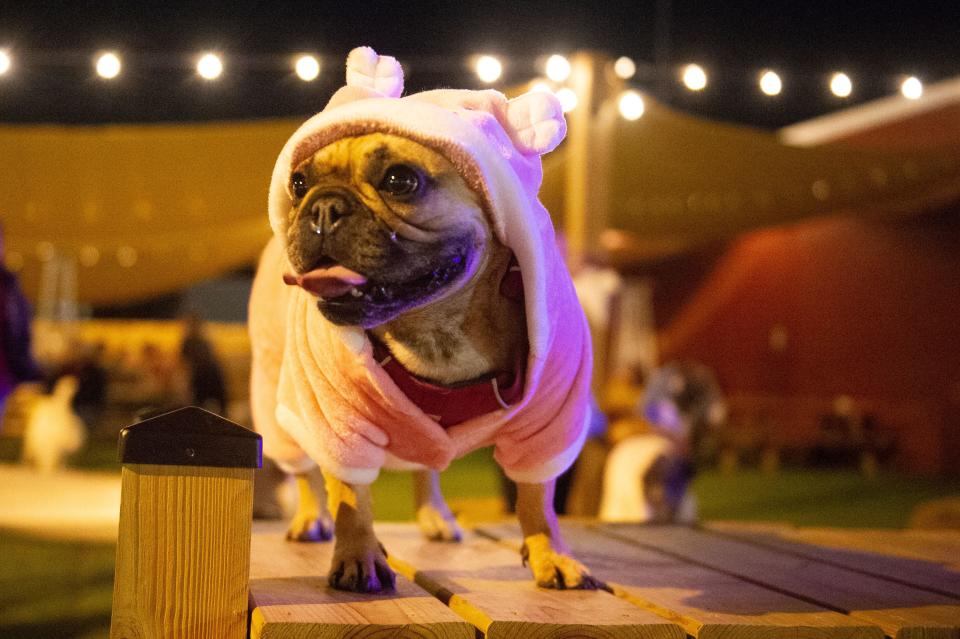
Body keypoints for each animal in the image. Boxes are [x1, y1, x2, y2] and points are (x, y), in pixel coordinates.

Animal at [253, 48, 600, 596]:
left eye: (401, 180)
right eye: (299, 182)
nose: (321, 206)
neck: (436, 332)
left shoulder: (549, 421)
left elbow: (536, 497)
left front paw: (551, 554)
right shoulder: (337, 422)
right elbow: (350, 496)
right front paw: (358, 555)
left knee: (426, 467)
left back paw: (435, 516)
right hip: (280, 400)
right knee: (304, 469)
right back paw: (311, 518)